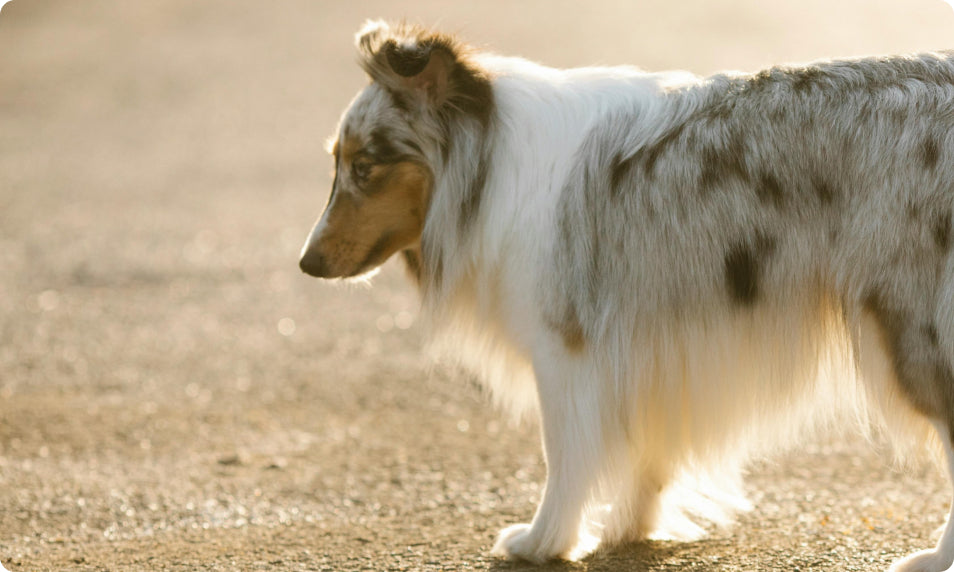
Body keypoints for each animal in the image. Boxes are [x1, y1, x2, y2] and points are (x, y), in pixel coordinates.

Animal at [302, 20, 952, 568]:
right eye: (337, 162)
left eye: (366, 166)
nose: (306, 263)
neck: (491, 162)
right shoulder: (653, 344)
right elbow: (649, 452)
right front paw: (633, 527)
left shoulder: (564, 347)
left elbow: (564, 454)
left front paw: (543, 541)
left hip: (910, 327)